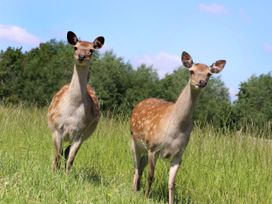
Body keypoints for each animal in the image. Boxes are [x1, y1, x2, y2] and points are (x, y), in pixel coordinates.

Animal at [47, 31, 104, 173]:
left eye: (91, 50)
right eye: (75, 47)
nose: (81, 56)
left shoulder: (81, 133)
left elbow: (71, 159)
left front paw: (67, 175)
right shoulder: (56, 129)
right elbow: (57, 155)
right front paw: (53, 173)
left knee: (67, 152)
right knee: (61, 152)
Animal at [130, 50, 225, 202]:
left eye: (209, 73)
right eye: (191, 71)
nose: (202, 82)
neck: (175, 130)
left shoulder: (179, 153)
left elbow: (171, 183)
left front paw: (170, 201)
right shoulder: (153, 147)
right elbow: (151, 176)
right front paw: (146, 197)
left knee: (140, 166)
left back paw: (137, 189)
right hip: (134, 141)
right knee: (137, 167)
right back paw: (134, 190)